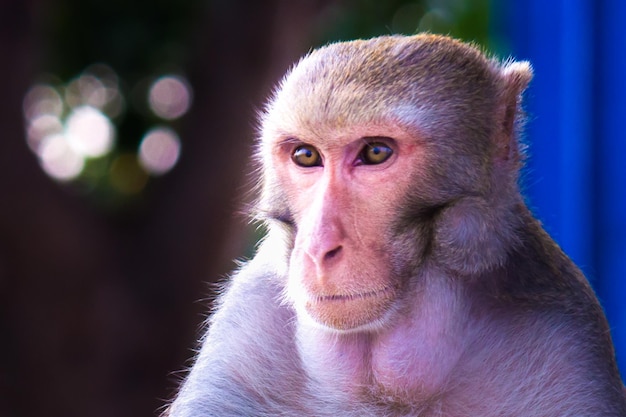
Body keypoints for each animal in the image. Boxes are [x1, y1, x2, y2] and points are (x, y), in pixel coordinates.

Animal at [165, 34, 624, 414]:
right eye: (306, 156)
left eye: (375, 152)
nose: (317, 248)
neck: (387, 383)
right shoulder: (246, 325)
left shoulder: (563, 337)